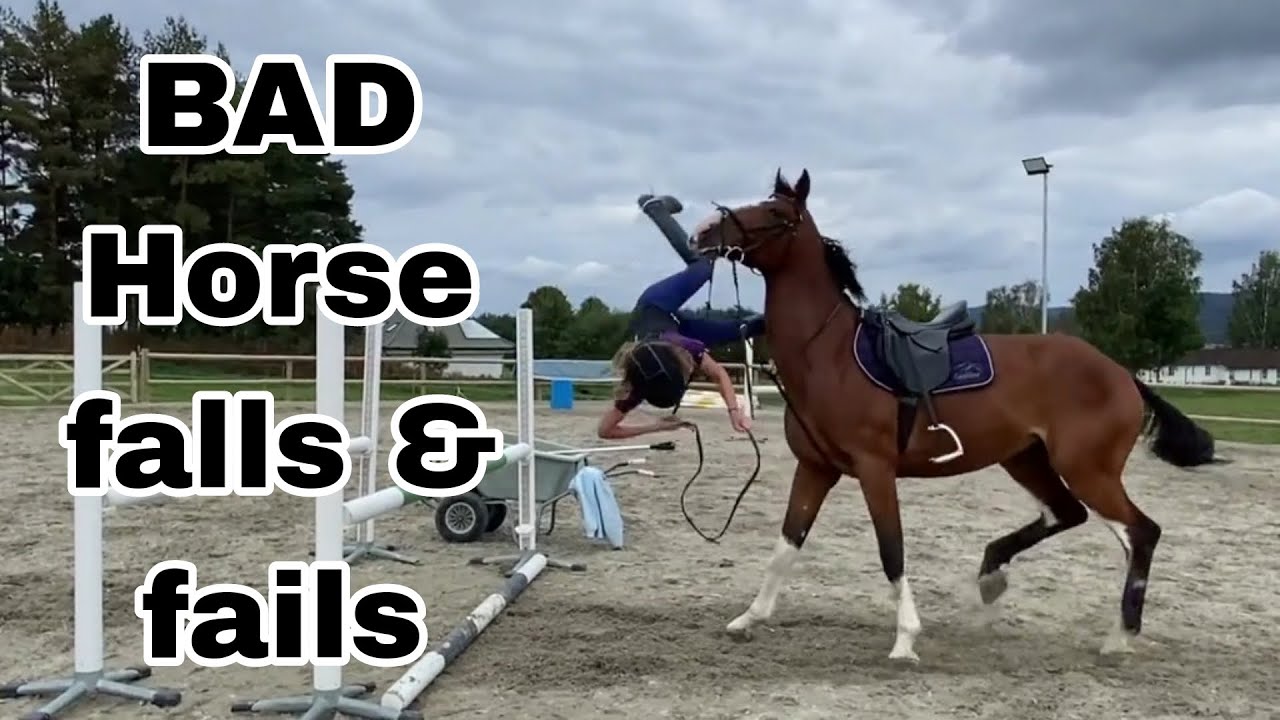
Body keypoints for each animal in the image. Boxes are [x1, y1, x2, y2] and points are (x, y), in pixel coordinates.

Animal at [688, 168, 1220, 662]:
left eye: (775, 212)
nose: (702, 231)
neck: (830, 354)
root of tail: (1122, 374)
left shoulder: (875, 470)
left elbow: (892, 551)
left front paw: (905, 640)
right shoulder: (816, 468)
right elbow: (786, 546)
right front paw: (749, 618)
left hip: (1089, 469)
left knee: (1140, 532)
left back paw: (1119, 636)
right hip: (1026, 459)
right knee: (1066, 513)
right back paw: (992, 576)